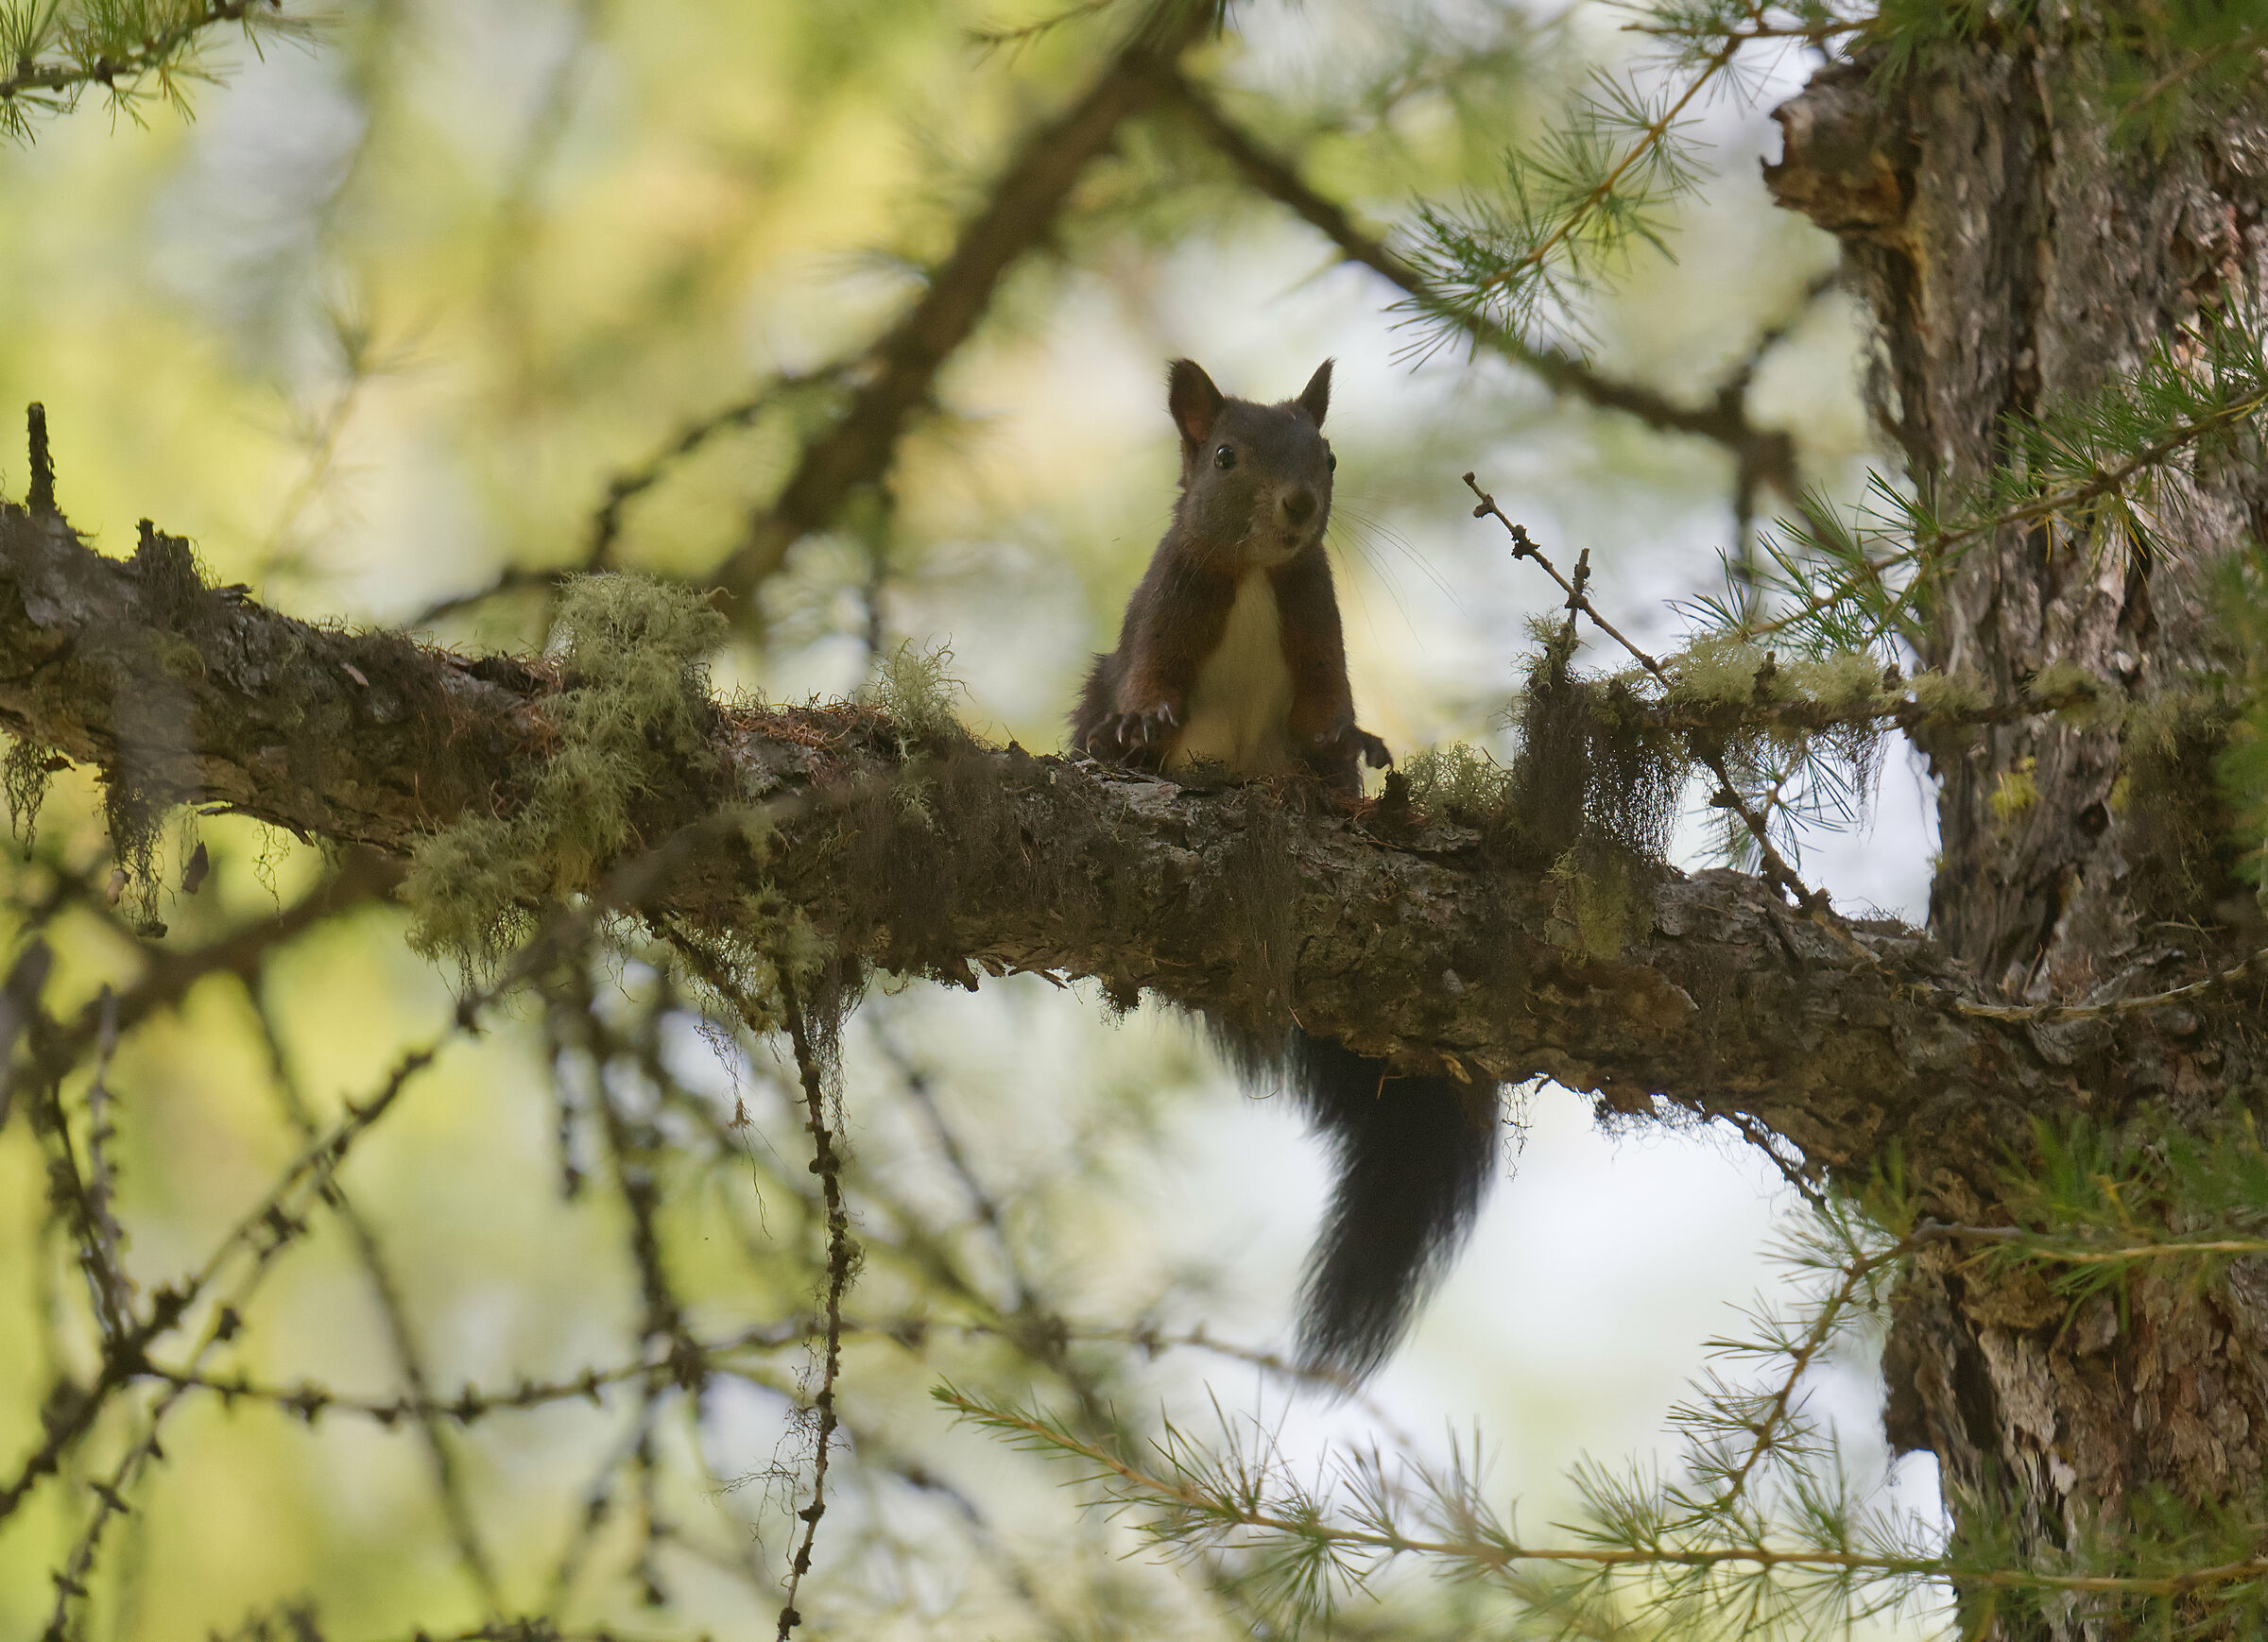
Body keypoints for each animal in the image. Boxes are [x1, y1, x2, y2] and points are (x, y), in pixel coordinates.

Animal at [1072, 357, 1500, 1381]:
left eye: (1328, 455)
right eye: (1226, 455)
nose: (1300, 505)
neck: (1260, 574)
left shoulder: (1317, 622)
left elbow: (1329, 704)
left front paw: (1356, 742)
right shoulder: (1167, 607)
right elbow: (1151, 677)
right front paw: (1141, 724)